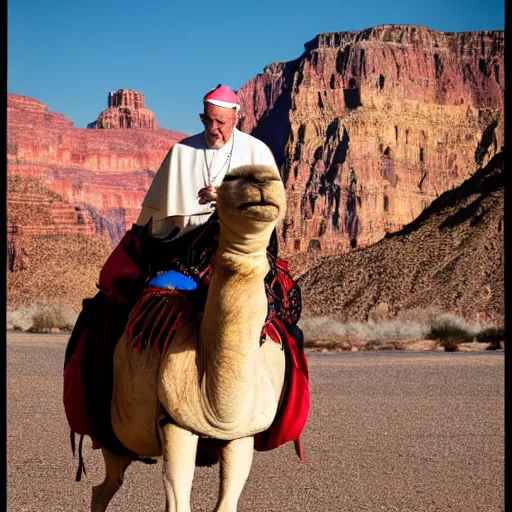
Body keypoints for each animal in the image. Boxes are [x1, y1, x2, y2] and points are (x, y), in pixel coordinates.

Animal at [93, 165, 288, 512]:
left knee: (104, 487)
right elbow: (177, 502)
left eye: (278, 177)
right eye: (231, 179)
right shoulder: (174, 425)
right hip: (115, 437)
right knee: (105, 485)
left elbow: (226, 505)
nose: (261, 179)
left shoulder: (242, 436)